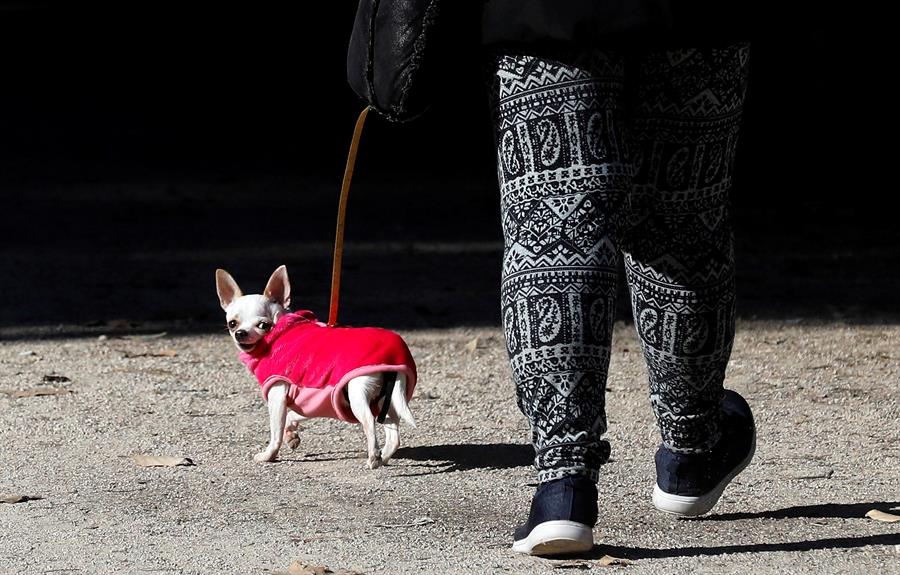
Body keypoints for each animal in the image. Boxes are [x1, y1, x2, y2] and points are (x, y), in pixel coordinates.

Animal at [216, 268, 416, 470]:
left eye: (263, 325)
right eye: (232, 323)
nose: (240, 333)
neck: (280, 333)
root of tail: (394, 358)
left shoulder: (277, 396)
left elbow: (276, 431)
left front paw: (269, 455)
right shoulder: (311, 402)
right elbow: (292, 415)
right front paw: (291, 435)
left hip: (358, 394)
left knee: (369, 422)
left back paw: (373, 457)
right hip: (388, 401)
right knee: (394, 437)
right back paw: (383, 457)